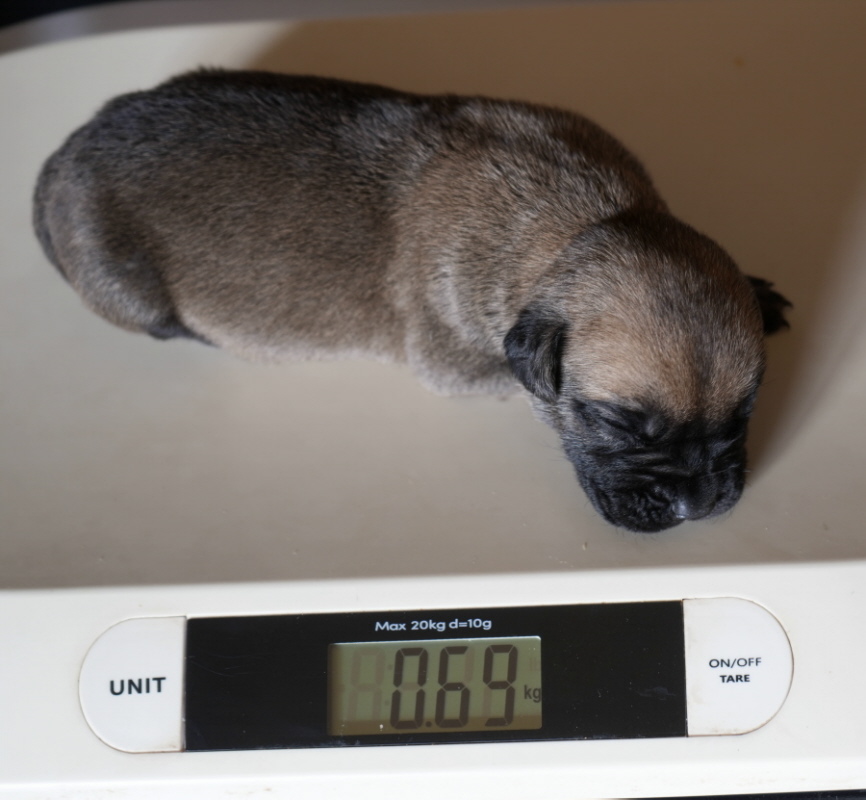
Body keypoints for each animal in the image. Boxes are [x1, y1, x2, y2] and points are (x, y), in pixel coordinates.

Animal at [33, 69, 790, 533]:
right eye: (618, 424)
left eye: (743, 413)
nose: (697, 504)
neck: (581, 222)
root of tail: (58, 161)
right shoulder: (454, 358)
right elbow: (511, 381)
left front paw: (761, 291)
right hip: (124, 280)